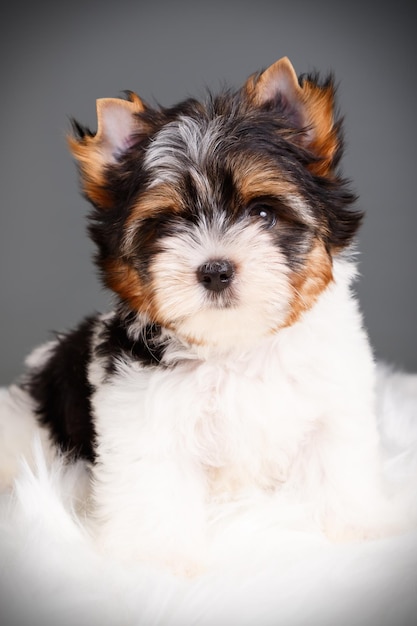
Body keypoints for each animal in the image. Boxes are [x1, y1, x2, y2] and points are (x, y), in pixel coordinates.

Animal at [0, 57, 398, 572]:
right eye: (169, 224)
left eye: (263, 213)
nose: (215, 270)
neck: (235, 344)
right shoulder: (143, 418)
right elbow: (154, 491)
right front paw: (155, 563)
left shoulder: (333, 403)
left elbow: (338, 466)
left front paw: (358, 531)